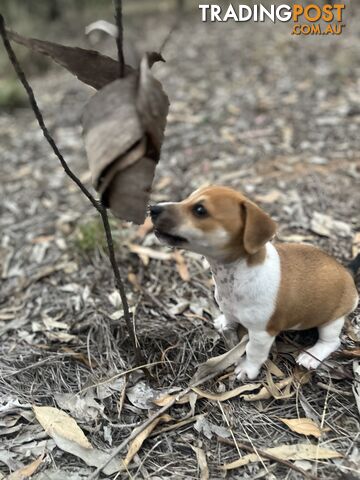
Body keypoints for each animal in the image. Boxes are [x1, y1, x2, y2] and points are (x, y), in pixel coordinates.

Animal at [150, 186, 360, 380]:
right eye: (187, 198)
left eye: (200, 210)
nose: (152, 208)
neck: (237, 274)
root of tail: (346, 271)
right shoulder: (229, 307)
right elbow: (229, 317)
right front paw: (223, 322)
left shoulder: (262, 334)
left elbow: (253, 351)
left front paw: (247, 369)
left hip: (332, 320)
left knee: (332, 341)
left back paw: (312, 355)